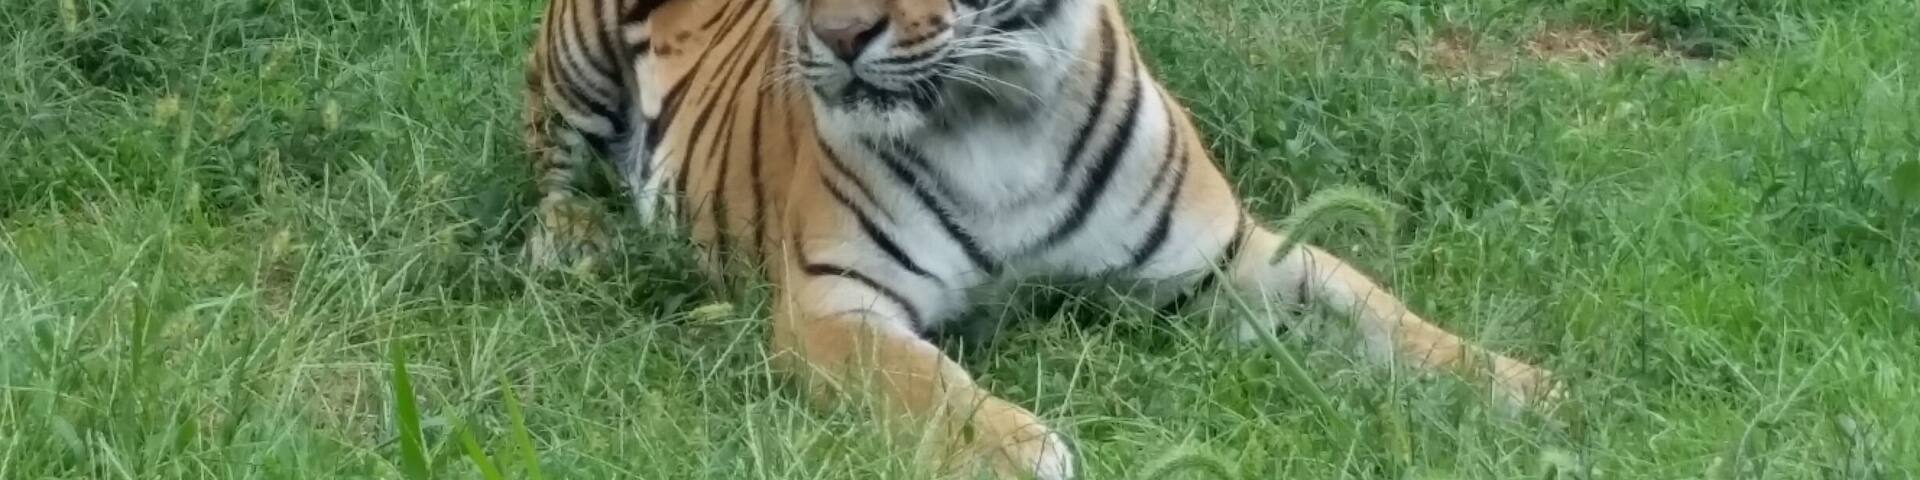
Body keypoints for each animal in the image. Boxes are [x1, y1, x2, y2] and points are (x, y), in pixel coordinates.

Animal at [520, 0, 1563, 477]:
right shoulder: (833, 301)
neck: (992, 112)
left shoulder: (1224, 264)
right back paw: (576, 241)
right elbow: (928, 385)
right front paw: (1023, 453)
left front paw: (1524, 388)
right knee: (549, 170)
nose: (841, 36)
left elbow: (1377, 309)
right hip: (571, 64)